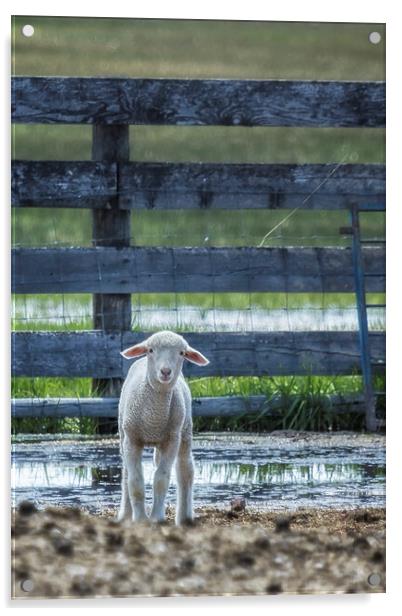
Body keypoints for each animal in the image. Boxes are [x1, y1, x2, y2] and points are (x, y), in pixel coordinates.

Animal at [117, 330, 209, 528]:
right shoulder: (132, 439)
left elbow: (161, 479)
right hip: (123, 433)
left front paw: (156, 518)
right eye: (151, 350)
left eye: (182, 353)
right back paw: (125, 514)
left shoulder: (171, 440)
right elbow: (135, 481)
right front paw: (140, 519)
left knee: (185, 470)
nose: (165, 372)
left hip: (184, 431)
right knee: (126, 473)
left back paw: (184, 517)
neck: (154, 418)